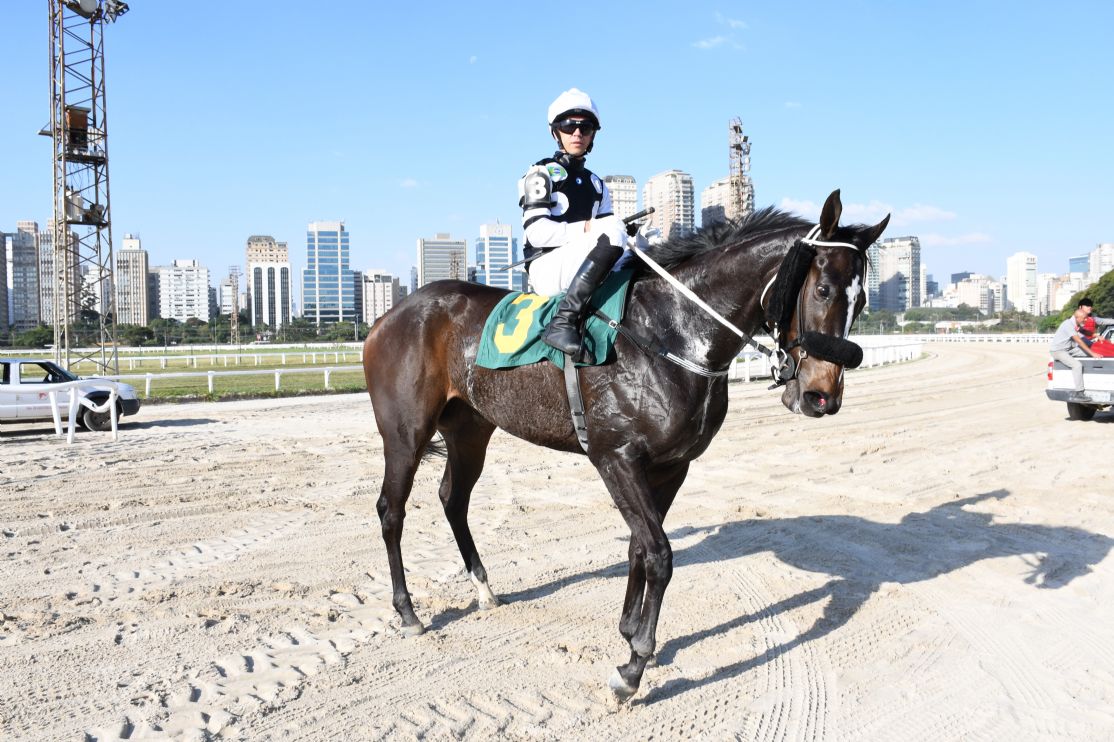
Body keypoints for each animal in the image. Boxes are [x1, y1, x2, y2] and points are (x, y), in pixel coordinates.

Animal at [362, 190, 889, 702]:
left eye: (862, 299)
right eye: (822, 290)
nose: (822, 395)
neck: (672, 331)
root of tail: (389, 316)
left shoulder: (672, 465)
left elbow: (640, 547)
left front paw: (629, 632)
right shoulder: (615, 457)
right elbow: (659, 554)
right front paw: (633, 667)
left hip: (471, 428)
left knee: (453, 499)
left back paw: (484, 589)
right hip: (405, 432)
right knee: (391, 509)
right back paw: (408, 613)